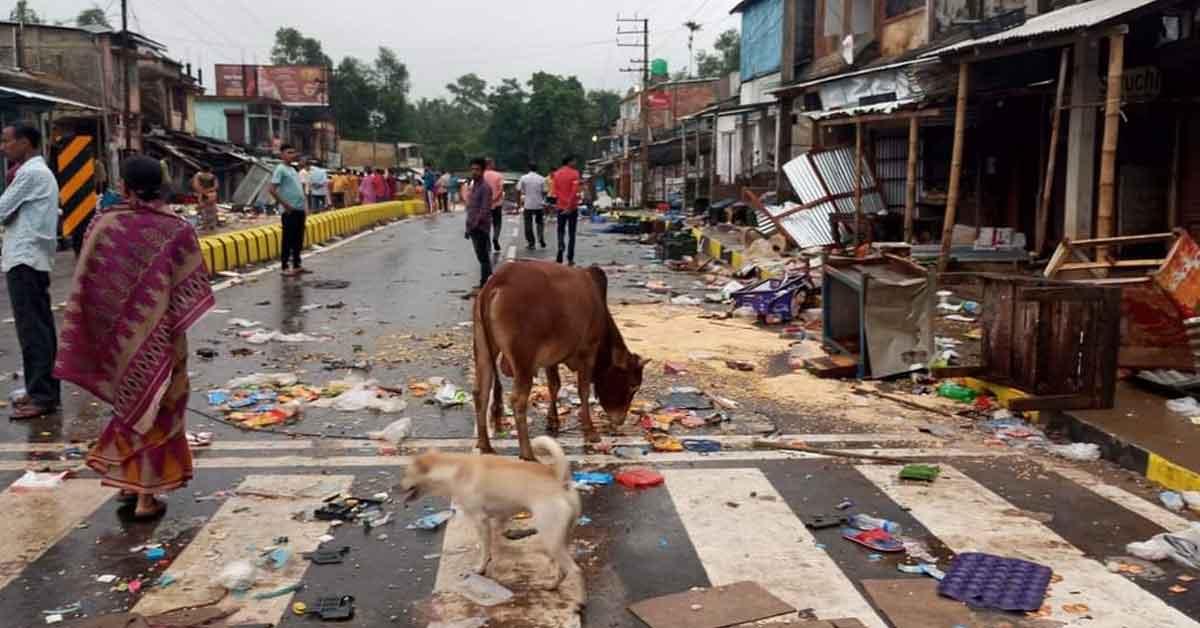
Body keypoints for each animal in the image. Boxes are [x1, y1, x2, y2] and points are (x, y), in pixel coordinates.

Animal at [400, 437, 583, 590]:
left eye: (407, 474)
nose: (397, 486)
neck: (454, 470)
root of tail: (558, 479)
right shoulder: (499, 517)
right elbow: (492, 540)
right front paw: (491, 556)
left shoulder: (480, 520)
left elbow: (485, 546)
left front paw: (481, 567)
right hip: (561, 539)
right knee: (563, 568)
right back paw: (552, 585)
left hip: (550, 537)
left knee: (575, 570)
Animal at [472, 260, 652, 461]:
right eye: (633, 386)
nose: (620, 420)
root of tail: (497, 281)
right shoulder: (588, 351)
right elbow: (583, 391)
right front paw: (590, 431)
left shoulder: (551, 358)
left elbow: (554, 385)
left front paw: (553, 421)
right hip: (523, 359)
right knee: (518, 399)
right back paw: (527, 453)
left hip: (483, 350)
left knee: (481, 393)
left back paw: (485, 445)